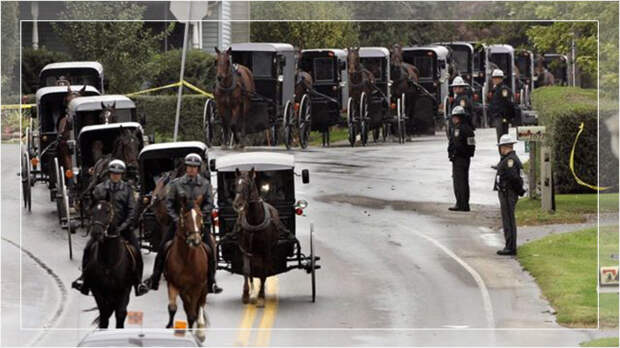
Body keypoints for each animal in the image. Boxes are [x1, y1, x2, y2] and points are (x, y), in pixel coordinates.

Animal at [84, 200, 142, 328]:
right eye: (92, 211)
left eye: (107, 211)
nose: (96, 232)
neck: (108, 262)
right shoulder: (97, 289)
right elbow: (104, 315)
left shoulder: (124, 289)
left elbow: (120, 313)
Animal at [163, 196, 209, 342]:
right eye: (185, 216)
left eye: (200, 216)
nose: (196, 240)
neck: (186, 259)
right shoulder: (173, 284)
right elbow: (173, 308)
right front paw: (169, 326)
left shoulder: (197, 286)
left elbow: (192, 314)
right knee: (188, 307)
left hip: (204, 287)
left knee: (201, 304)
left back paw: (200, 331)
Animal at [232, 169, 286, 308]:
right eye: (235, 184)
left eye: (248, 185)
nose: (237, 204)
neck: (254, 220)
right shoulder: (245, 249)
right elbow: (246, 270)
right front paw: (246, 295)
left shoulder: (265, 251)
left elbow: (263, 273)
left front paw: (261, 297)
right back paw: (252, 291)